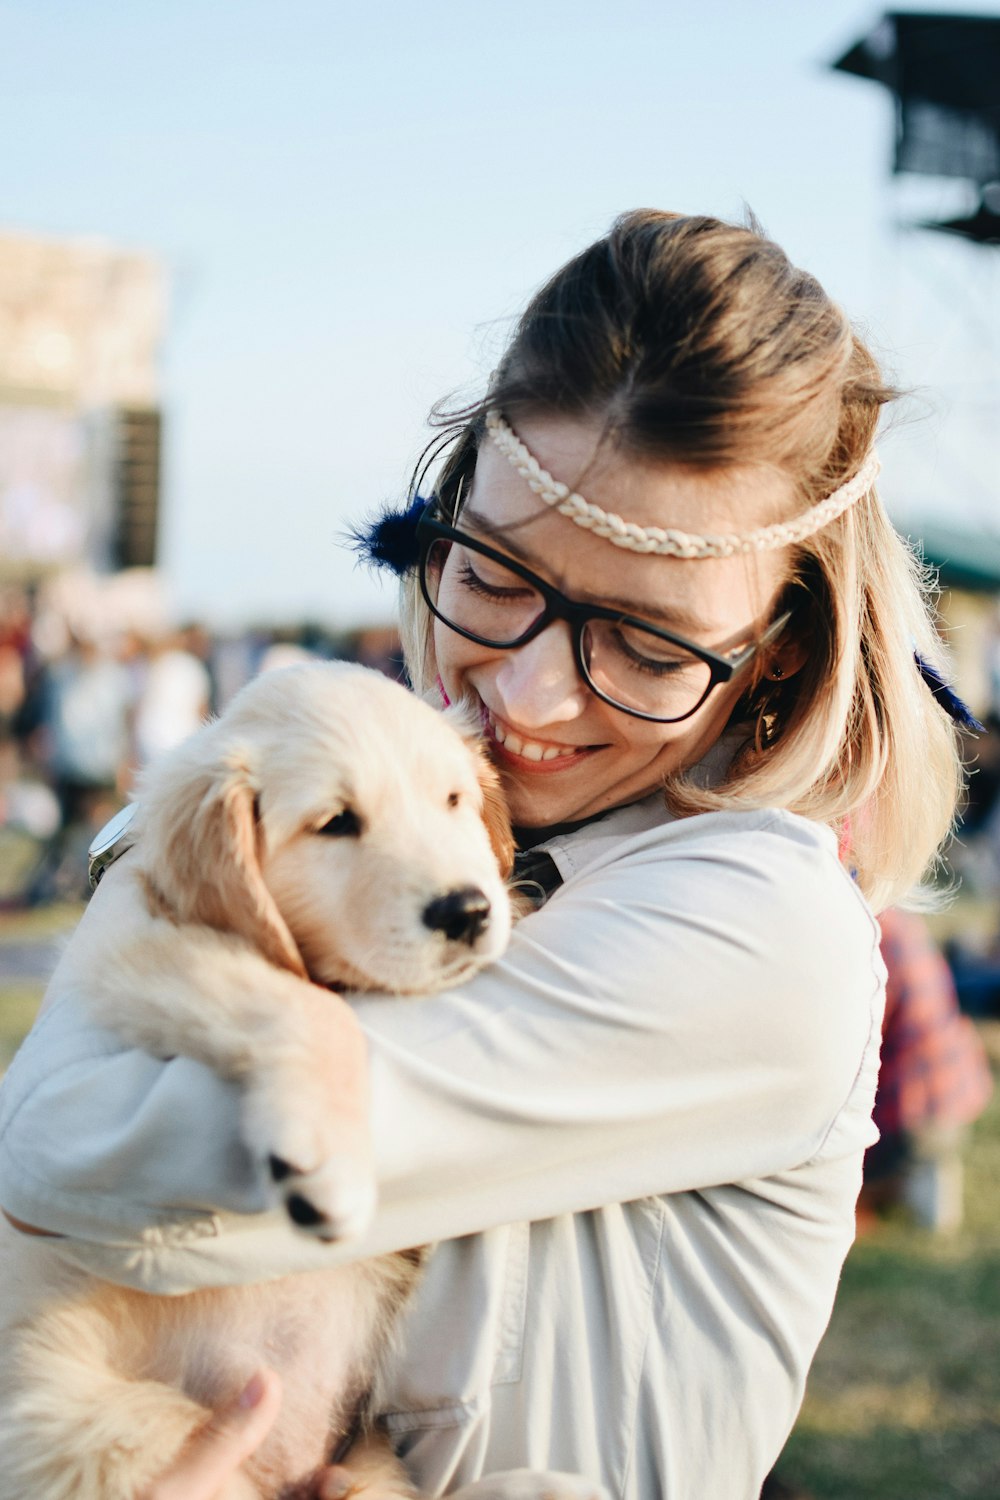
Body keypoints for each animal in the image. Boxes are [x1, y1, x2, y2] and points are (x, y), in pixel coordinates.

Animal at [0, 663, 611, 1500]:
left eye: (452, 800)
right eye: (336, 824)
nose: (467, 912)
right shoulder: (130, 955)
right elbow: (306, 1005)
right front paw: (327, 1166)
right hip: (111, 1433)